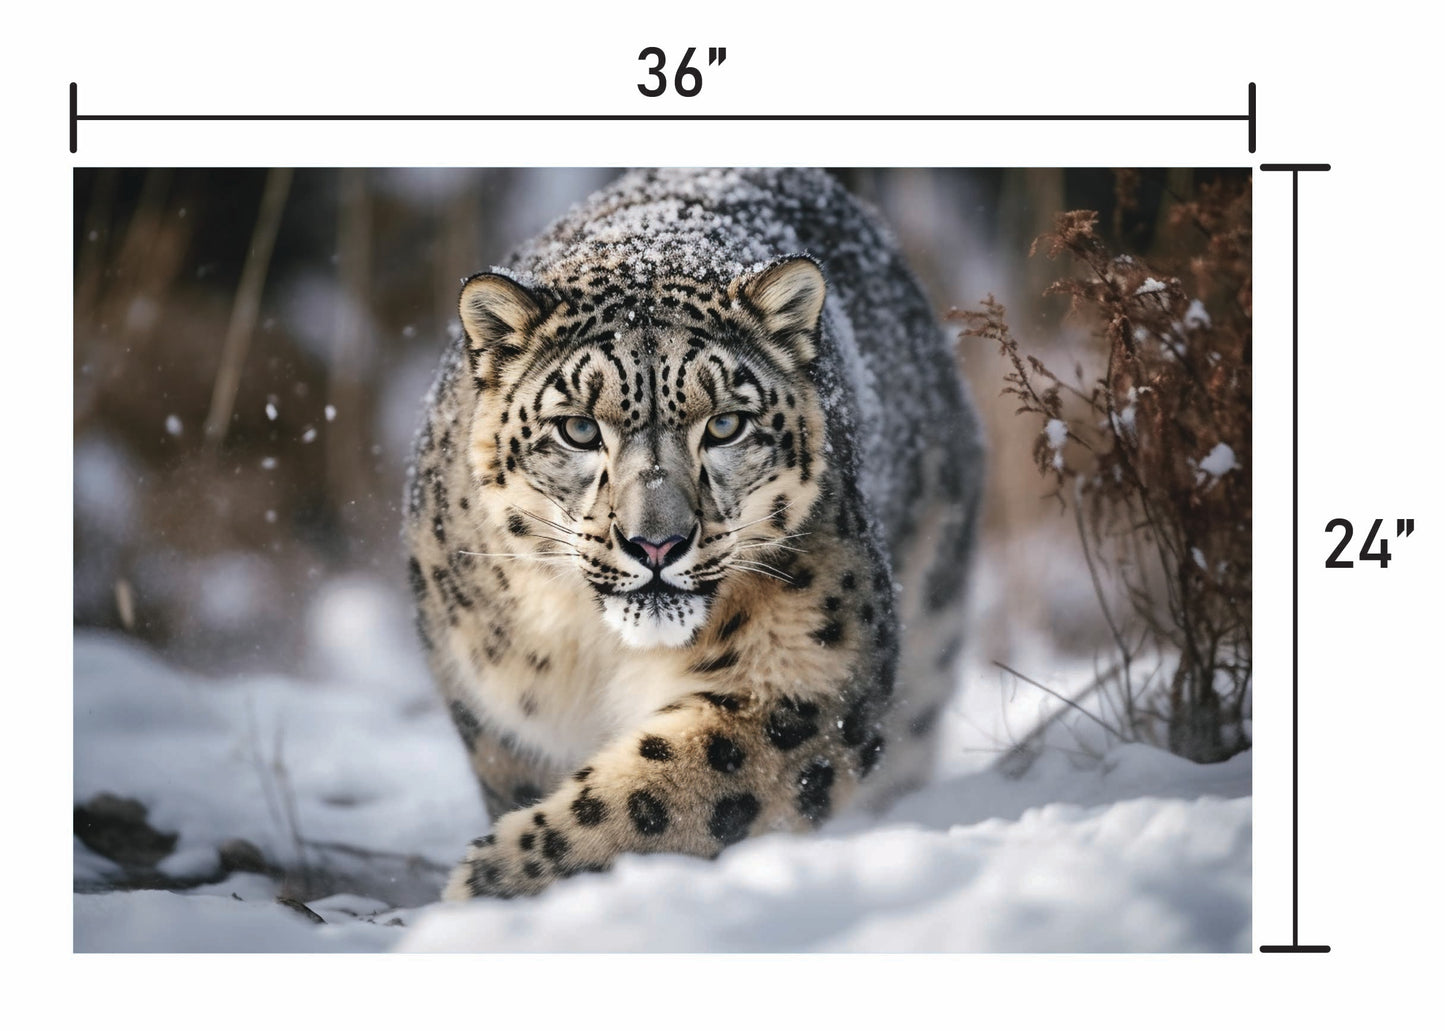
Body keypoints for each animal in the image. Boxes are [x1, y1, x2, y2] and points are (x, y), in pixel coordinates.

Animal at [403, 168, 983, 900]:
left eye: (726, 424)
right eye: (579, 428)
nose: (656, 543)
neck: (599, 655)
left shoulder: (806, 672)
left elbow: (668, 792)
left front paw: (497, 878)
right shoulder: (496, 708)